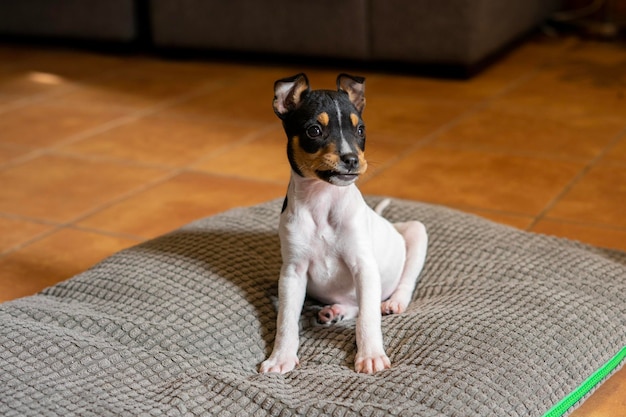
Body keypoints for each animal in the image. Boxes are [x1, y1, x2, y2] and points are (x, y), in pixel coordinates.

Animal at [256, 72, 426, 374]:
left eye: (360, 130)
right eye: (314, 130)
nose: (352, 160)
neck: (322, 203)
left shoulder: (364, 267)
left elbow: (368, 318)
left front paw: (371, 355)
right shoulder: (292, 273)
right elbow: (285, 320)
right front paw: (280, 358)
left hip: (417, 232)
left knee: (397, 288)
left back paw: (393, 303)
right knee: (355, 304)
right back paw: (335, 311)